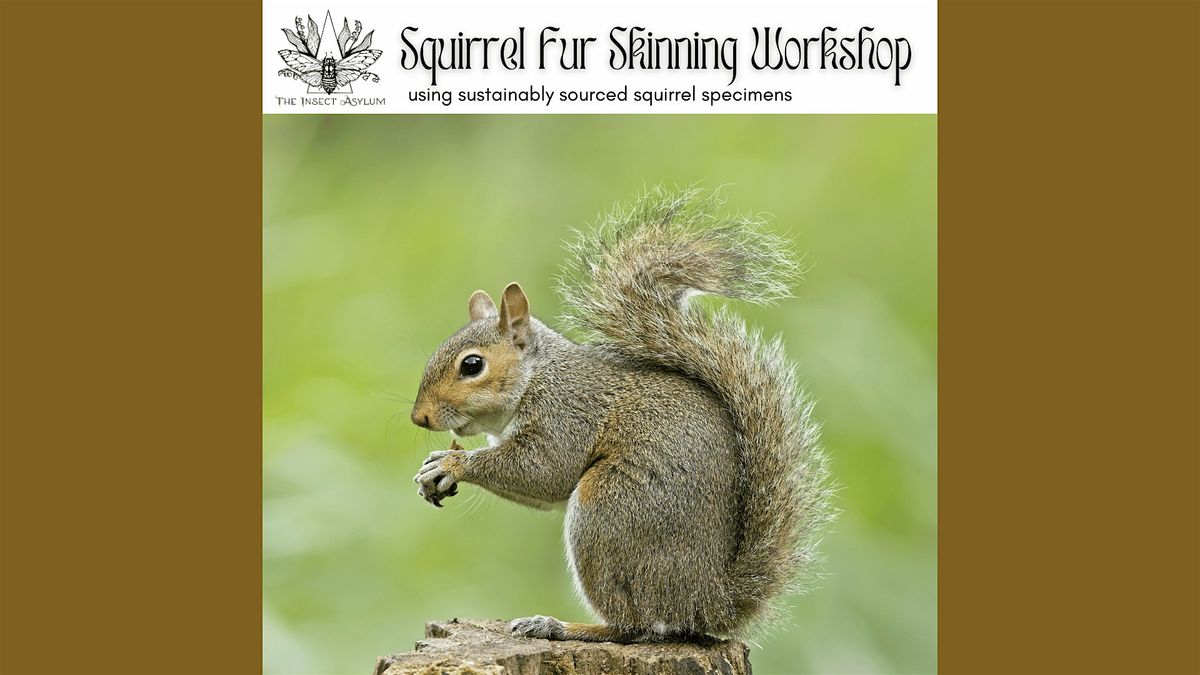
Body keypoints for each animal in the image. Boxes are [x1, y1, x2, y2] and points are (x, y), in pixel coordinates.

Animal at [410, 187, 832, 643]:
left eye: (472, 365)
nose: (420, 418)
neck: (537, 376)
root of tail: (708, 602)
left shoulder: (568, 413)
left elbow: (545, 471)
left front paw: (453, 463)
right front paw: (434, 467)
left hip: (607, 512)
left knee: (633, 625)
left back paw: (559, 625)